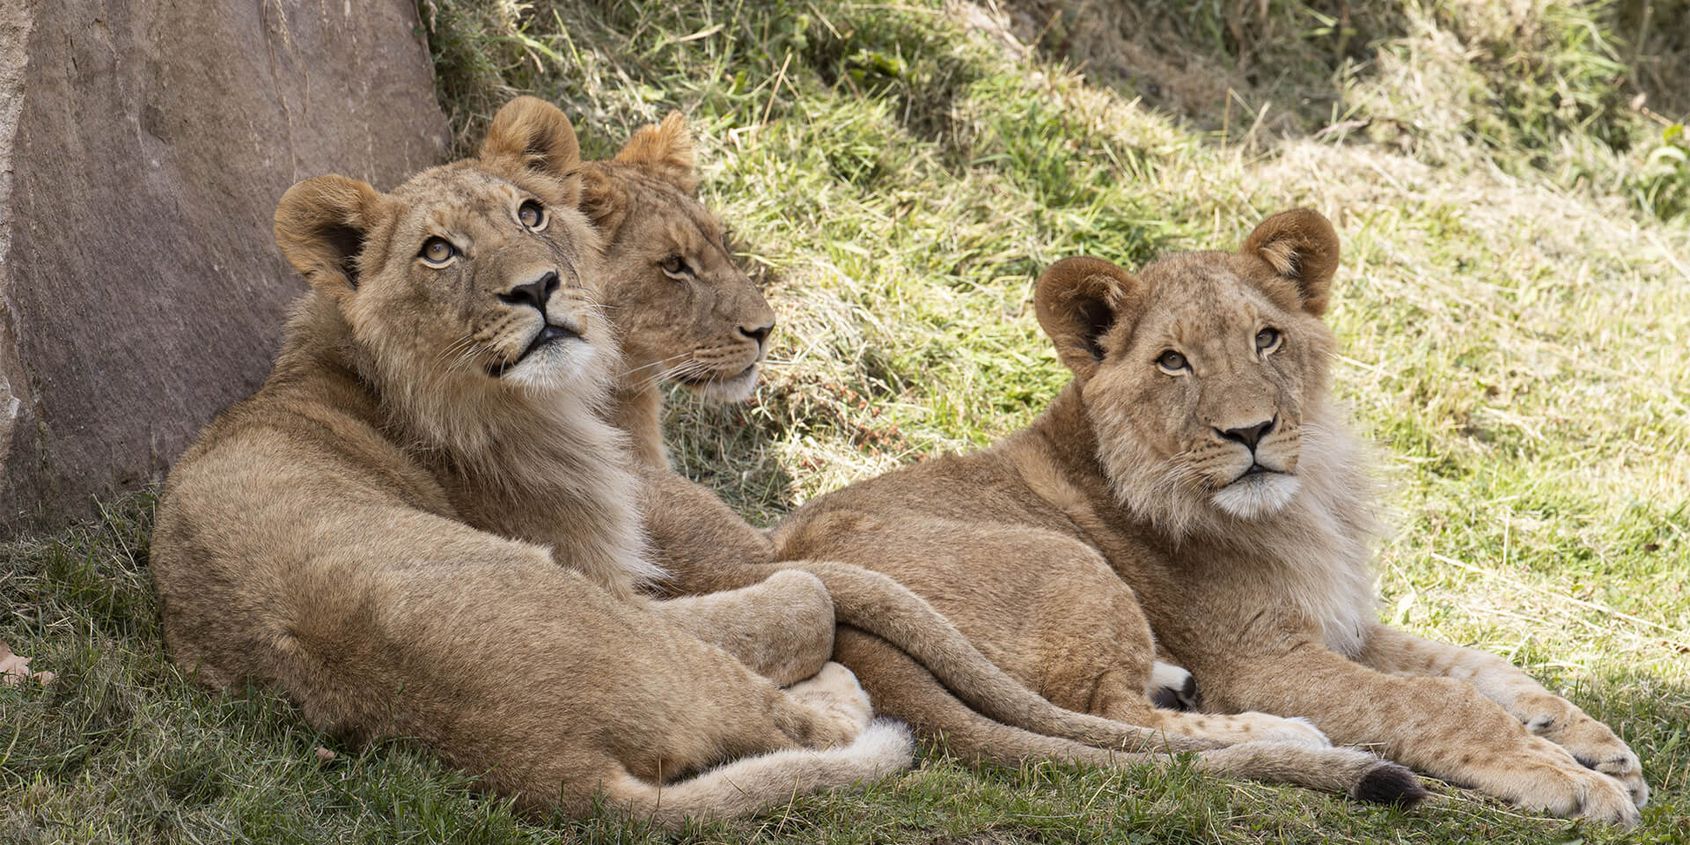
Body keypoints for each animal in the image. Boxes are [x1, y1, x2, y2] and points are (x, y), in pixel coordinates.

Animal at [148, 96, 918, 825]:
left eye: (531, 213)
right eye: (438, 251)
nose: (536, 287)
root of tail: (547, 766)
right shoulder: (610, 573)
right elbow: (797, 595)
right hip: (597, 613)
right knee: (794, 681)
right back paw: (837, 692)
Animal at [771, 209, 1648, 825]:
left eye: (1267, 339)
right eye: (1173, 361)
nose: (1249, 432)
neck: (1307, 500)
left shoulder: (1342, 621)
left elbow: (1480, 666)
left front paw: (1597, 745)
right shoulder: (1259, 659)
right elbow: (1436, 698)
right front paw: (1568, 778)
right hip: (1074, 568)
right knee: (1111, 716)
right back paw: (1283, 735)